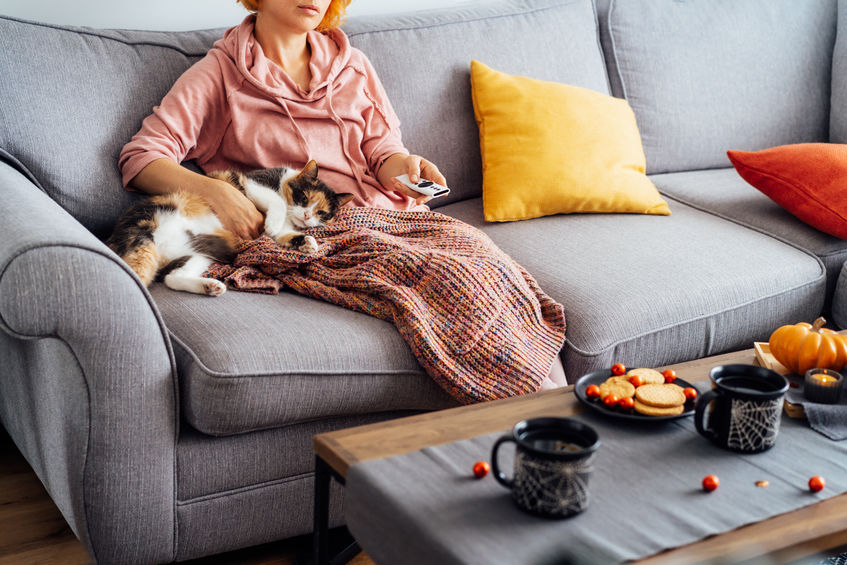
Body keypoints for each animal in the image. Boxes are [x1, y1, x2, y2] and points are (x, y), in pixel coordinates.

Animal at [107, 160, 352, 296]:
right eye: (303, 197)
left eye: (323, 213)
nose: (307, 215)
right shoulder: (251, 183)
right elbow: (277, 202)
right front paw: (273, 223)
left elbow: (285, 235)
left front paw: (308, 243)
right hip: (147, 226)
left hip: (198, 253)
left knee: (172, 279)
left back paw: (209, 287)